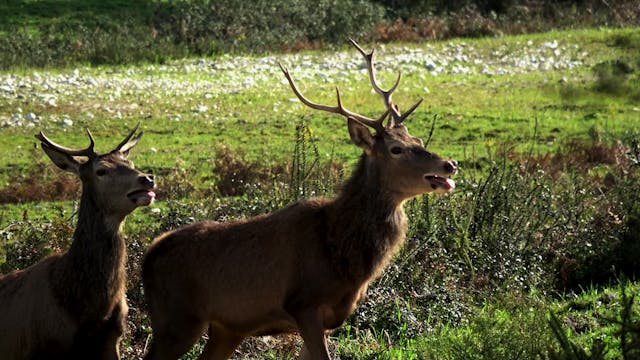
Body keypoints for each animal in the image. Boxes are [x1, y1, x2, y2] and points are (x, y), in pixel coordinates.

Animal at [142, 40, 458, 360]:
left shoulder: (328, 319)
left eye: (418, 140)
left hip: (225, 328)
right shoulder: (303, 302)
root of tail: (148, 258)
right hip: (176, 318)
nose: (449, 164)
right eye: (396, 149)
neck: (342, 254)